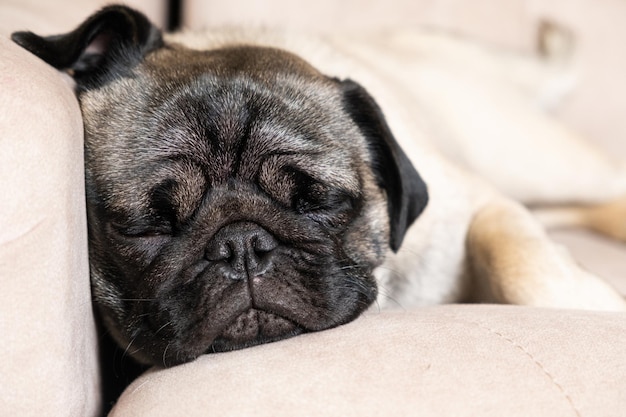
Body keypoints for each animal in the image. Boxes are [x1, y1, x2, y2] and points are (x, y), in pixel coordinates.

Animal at [11, 4, 626, 368]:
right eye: (146, 227)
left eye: (318, 202)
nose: (241, 245)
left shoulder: (481, 205)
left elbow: (521, 262)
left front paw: (590, 305)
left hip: (538, 159)